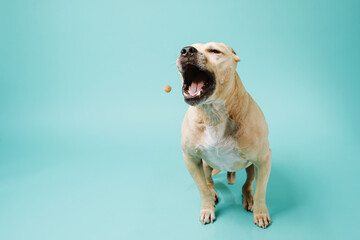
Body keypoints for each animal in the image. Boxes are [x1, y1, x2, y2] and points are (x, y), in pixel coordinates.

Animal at [176, 42, 272, 228]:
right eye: (186, 48)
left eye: (215, 51)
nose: (187, 50)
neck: (213, 114)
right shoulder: (190, 159)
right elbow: (202, 190)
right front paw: (207, 209)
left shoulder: (264, 160)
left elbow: (261, 192)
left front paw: (261, 213)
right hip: (205, 165)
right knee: (208, 182)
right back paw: (213, 193)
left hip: (252, 166)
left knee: (248, 184)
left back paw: (249, 199)